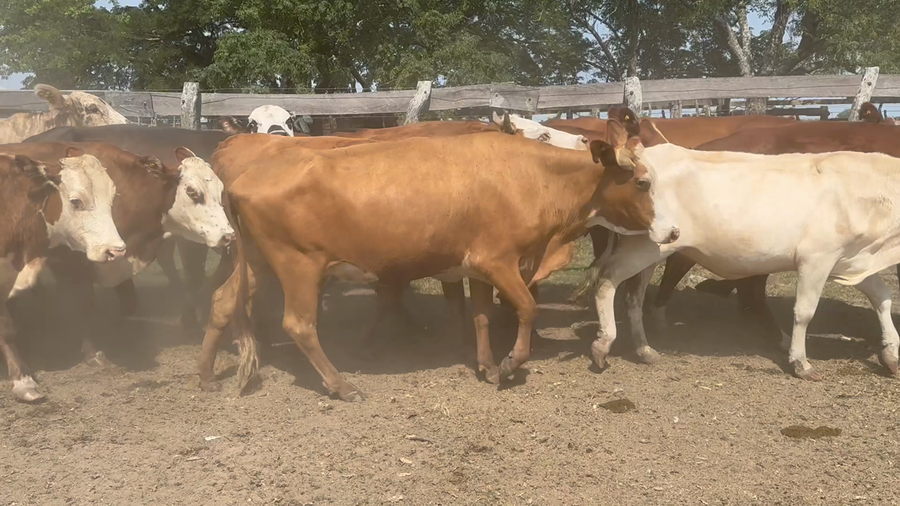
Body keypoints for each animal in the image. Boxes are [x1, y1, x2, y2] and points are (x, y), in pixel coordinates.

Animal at [197, 121, 675, 401]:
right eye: (642, 181)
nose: (672, 232)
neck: (531, 177)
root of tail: (244, 175)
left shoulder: (476, 266)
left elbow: (481, 315)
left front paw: (486, 365)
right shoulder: (499, 260)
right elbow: (526, 307)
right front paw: (510, 363)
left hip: (256, 263)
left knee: (222, 301)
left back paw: (204, 373)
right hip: (298, 266)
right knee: (298, 324)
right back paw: (341, 384)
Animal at [584, 121, 900, 383]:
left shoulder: (852, 259)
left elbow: (882, 297)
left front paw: (892, 353)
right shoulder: (816, 258)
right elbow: (804, 312)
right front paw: (801, 362)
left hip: (651, 249)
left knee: (633, 296)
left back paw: (643, 348)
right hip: (646, 247)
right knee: (607, 281)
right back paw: (603, 344)